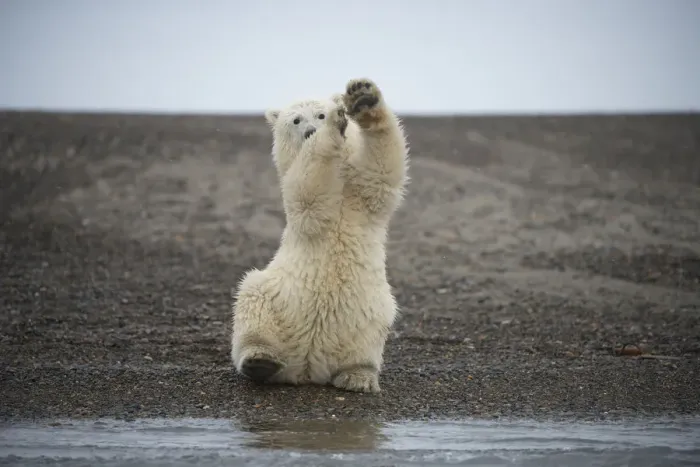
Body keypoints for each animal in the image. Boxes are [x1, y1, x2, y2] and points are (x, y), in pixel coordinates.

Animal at [230, 78, 409, 393]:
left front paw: (364, 96)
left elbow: (381, 171)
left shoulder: (361, 195)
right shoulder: (299, 194)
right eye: (296, 120)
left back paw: (358, 377)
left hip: (371, 316)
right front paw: (330, 131)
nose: (310, 130)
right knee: (251, 303)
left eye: (319, 114)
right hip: (274, 299)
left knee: (365, 346)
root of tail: (308, 366)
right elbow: (308, 194)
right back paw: (259, 361)